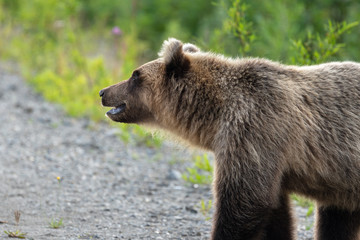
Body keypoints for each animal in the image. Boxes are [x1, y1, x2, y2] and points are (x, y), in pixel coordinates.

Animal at [98, 38, 360, 239]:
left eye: (135, 75)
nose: (103, 92)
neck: (215, 115)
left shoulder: (255, 130)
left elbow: (245, 199)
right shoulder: (272, 157)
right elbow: (275, 210)